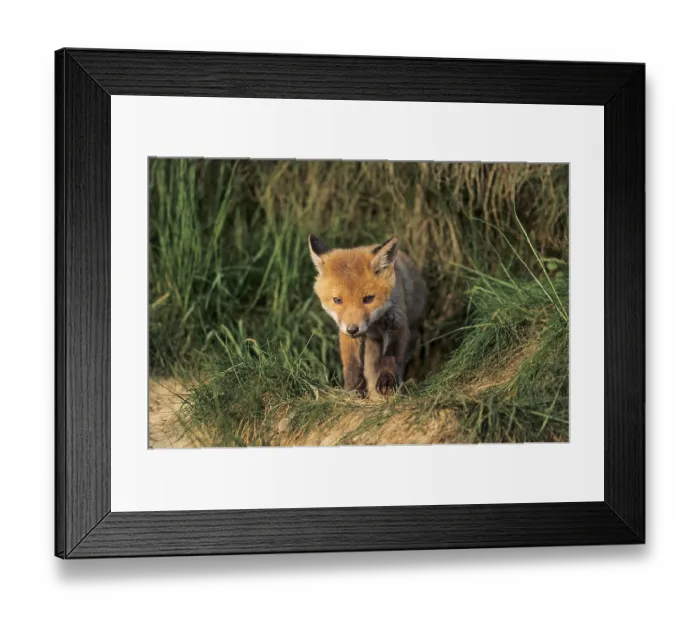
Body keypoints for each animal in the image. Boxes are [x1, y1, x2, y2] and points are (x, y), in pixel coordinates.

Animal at [309, 234, 427, 397]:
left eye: (368, 299)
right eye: (337, 300)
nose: (353, 329)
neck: (374, 323)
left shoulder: (397, 321)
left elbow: (391, 356)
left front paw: (387, 381)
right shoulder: (346, 331)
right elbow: (351, 363)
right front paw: (352, 389)